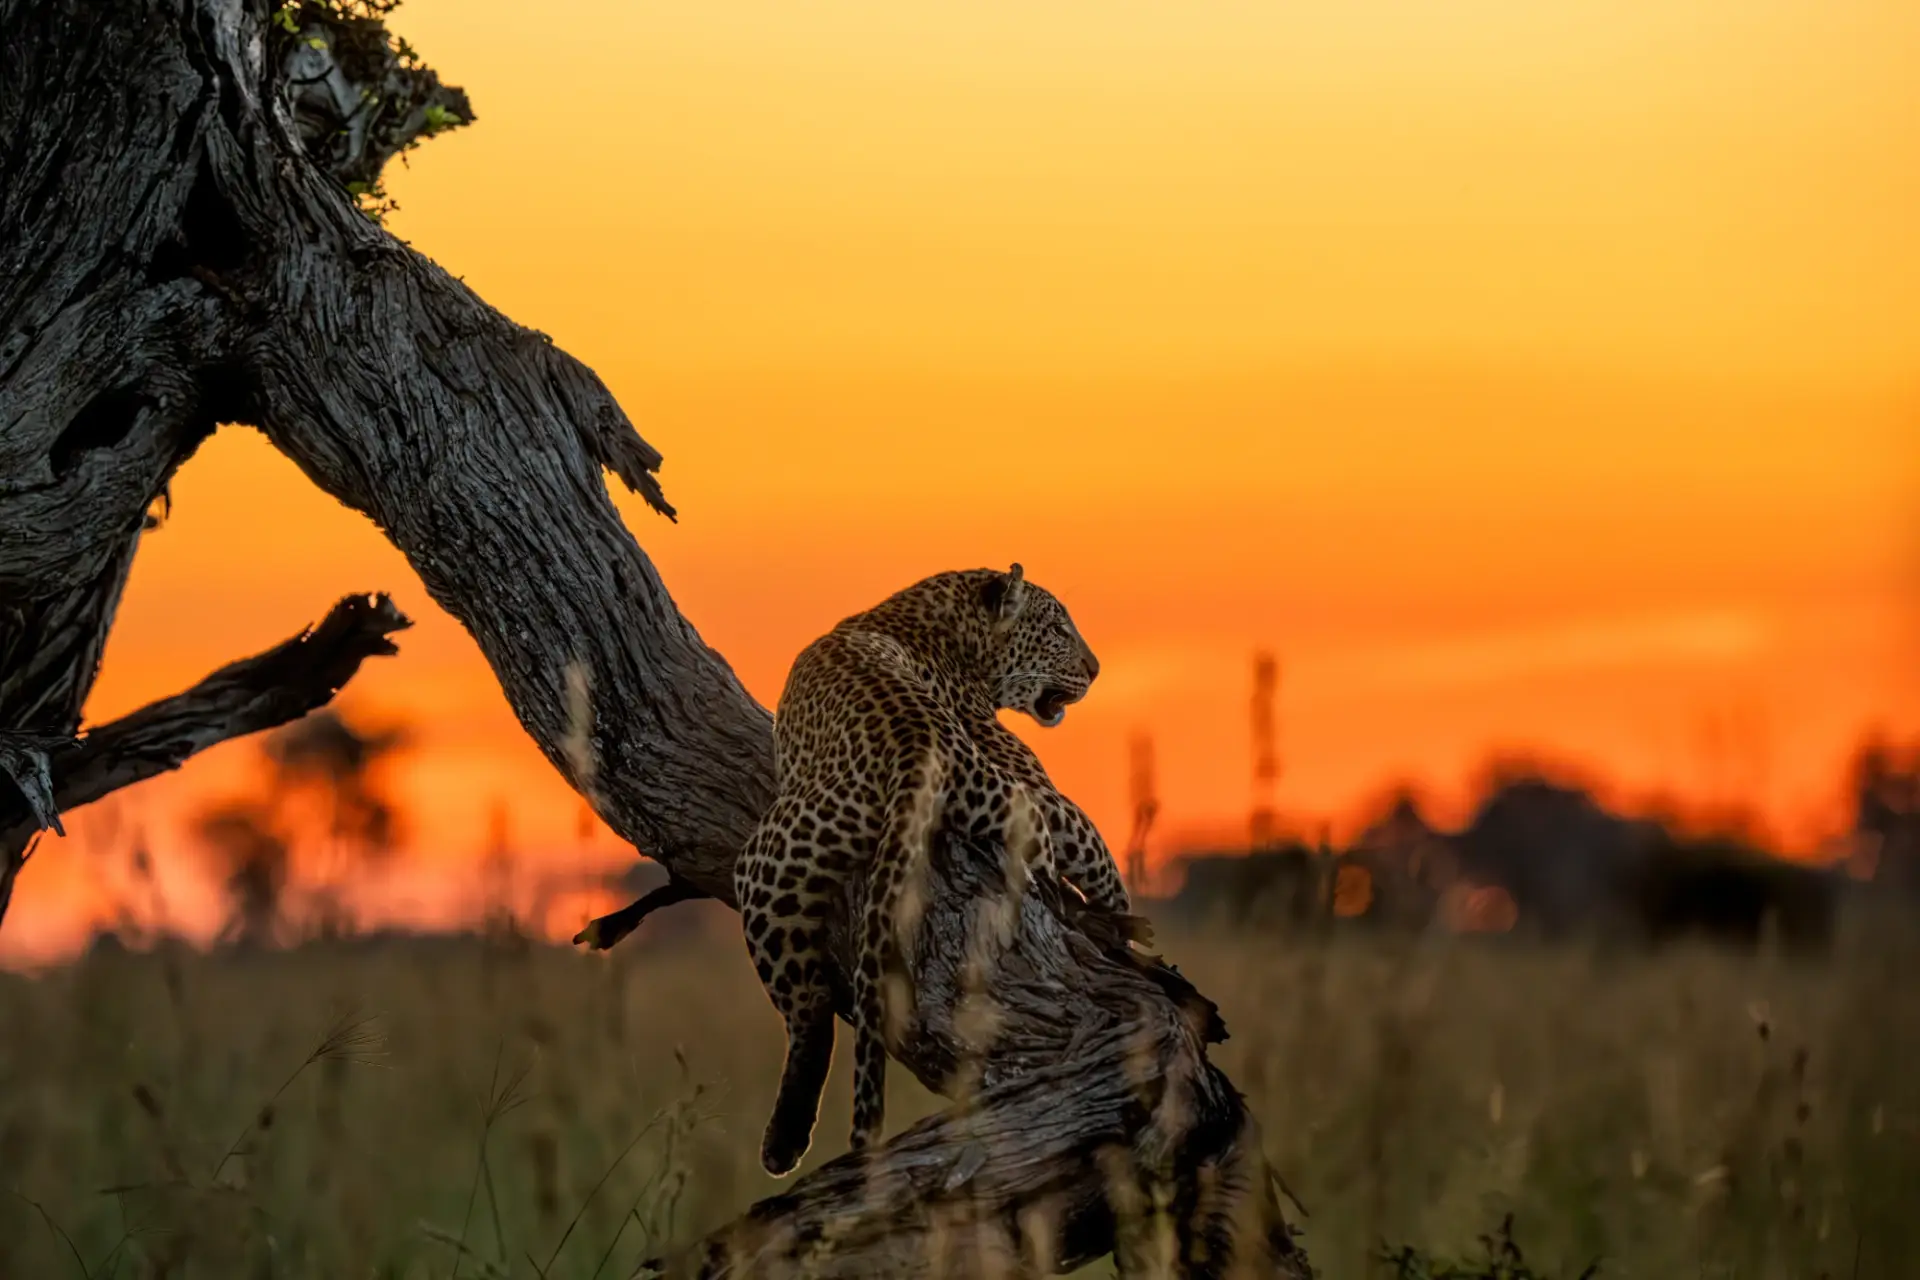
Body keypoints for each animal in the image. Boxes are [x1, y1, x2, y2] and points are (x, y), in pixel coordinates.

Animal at [735, 563, 1131, 1177]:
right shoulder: (1034, 784)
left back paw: (785, 1137)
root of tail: (915, 743)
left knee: (809, 1009)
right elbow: (1093, 843)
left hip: (775, 859)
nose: (1094, 669)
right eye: (1058, 629)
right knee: (810, 1010)